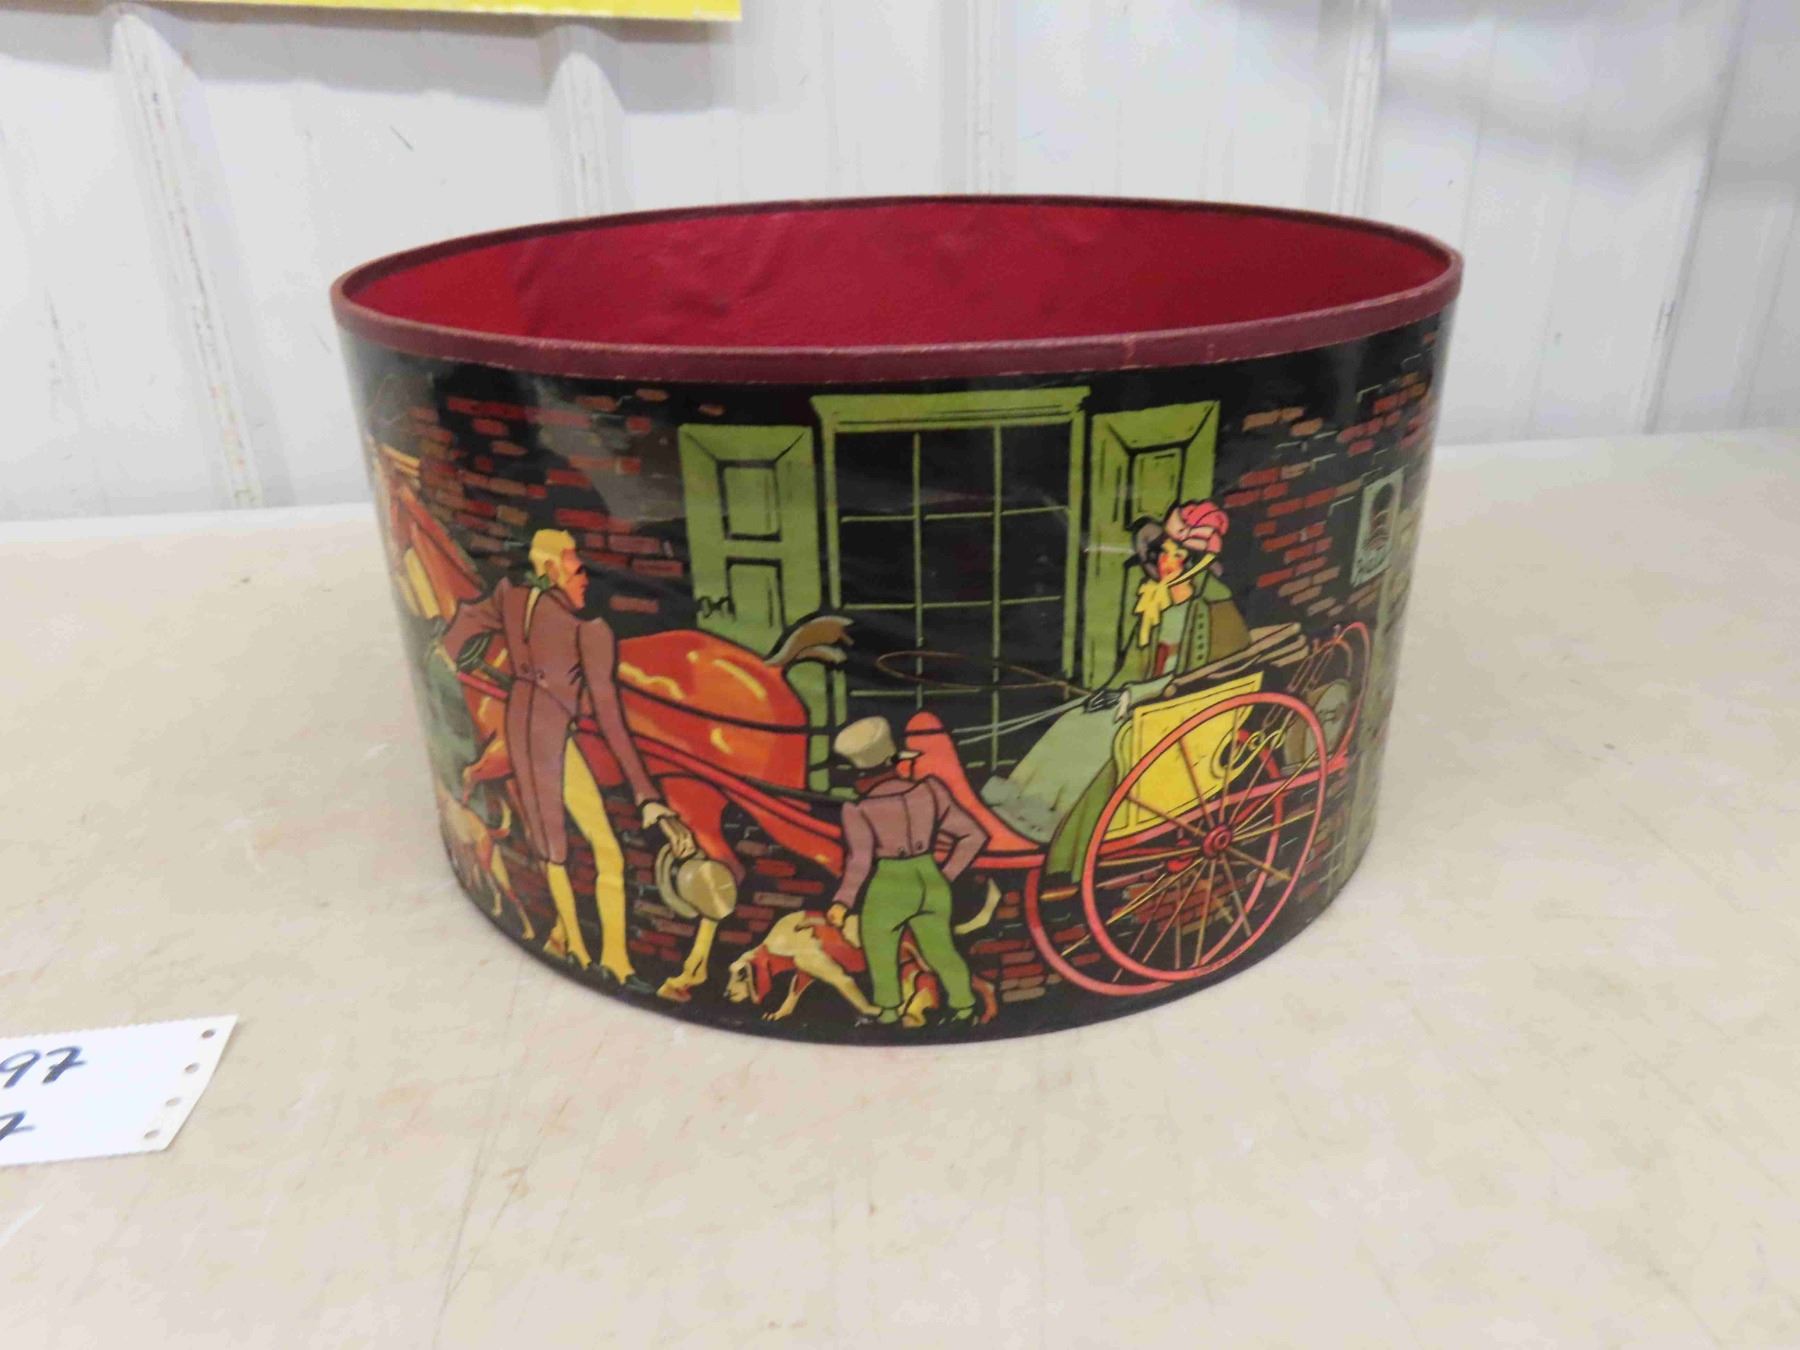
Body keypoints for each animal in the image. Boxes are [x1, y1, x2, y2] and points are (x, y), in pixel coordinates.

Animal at [725, 881, 1002, 1027]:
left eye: (742, 975)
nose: (726, 995)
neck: (785, 940)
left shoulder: (838, 977)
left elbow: (858, 999)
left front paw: (873, 1011)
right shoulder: (804, 974)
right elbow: (791, 996)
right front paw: (779, 1013)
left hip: (929, 961)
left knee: (980, 983)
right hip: (908, 966)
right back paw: (910, 1014)